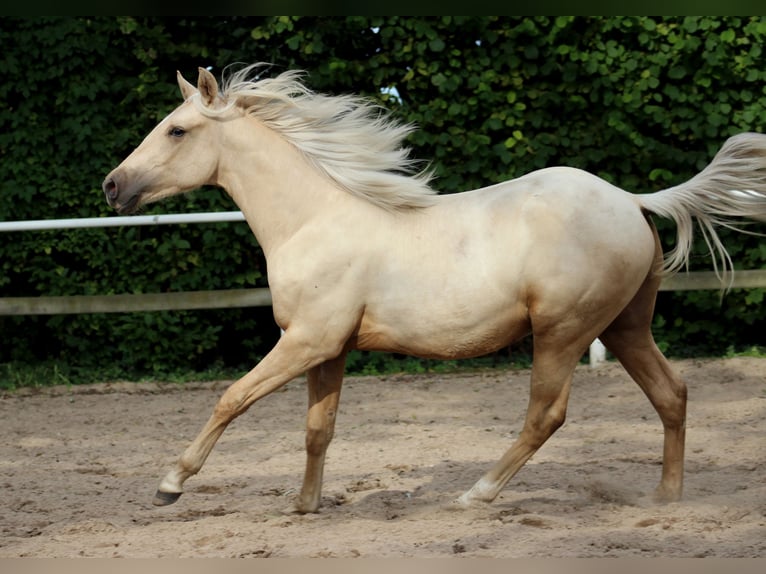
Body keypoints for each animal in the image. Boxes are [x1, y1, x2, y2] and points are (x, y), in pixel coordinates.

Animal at [103, 65, 766, 516]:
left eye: (177, 130)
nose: (112, 185)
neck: (312, 219)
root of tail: (630, 199)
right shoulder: (329, 349)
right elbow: (319, 429)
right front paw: (306, 505)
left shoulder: (307, 341)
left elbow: (232, 398)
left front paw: (170, 484)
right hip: (625, 326)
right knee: (672, 393)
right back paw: (665, 498)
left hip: (563, 331)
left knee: (546, 414)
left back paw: (476, 495)